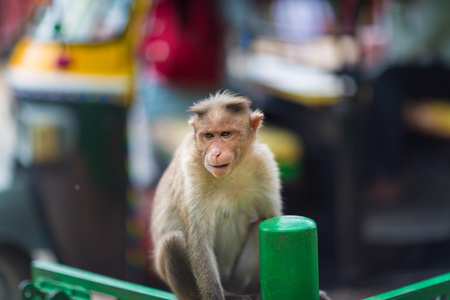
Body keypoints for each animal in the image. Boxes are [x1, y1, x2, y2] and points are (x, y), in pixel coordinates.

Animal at [149, 92, 328, 300]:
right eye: (208, 136)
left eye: (226, 134)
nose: (215, 153)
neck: (231, 174)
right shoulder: (191, 173)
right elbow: (200, 244)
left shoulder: (265, 164)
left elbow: (273, 219)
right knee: (172, 241)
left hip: (238, 279)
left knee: (258, 226)